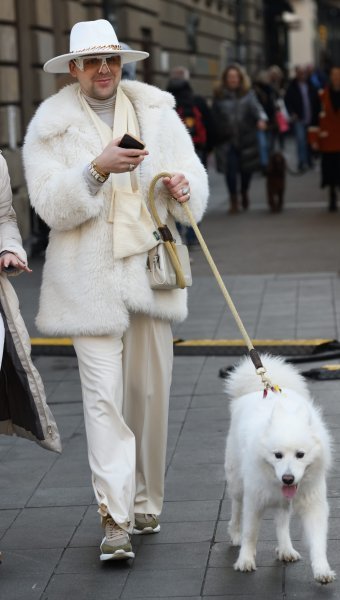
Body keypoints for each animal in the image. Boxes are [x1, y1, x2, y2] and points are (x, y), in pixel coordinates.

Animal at [224, 354, 336, 584]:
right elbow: (251, 533)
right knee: (236, 508)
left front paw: (322, 570)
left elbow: (318, 541)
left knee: (282, 521)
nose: (288, 479)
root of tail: (258, 389)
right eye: (277, 455)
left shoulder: (314, 504)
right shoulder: (254, 500)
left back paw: (286, 549)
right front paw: (245, 560)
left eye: (300, 455)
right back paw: (235, 533)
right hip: (237, 483)